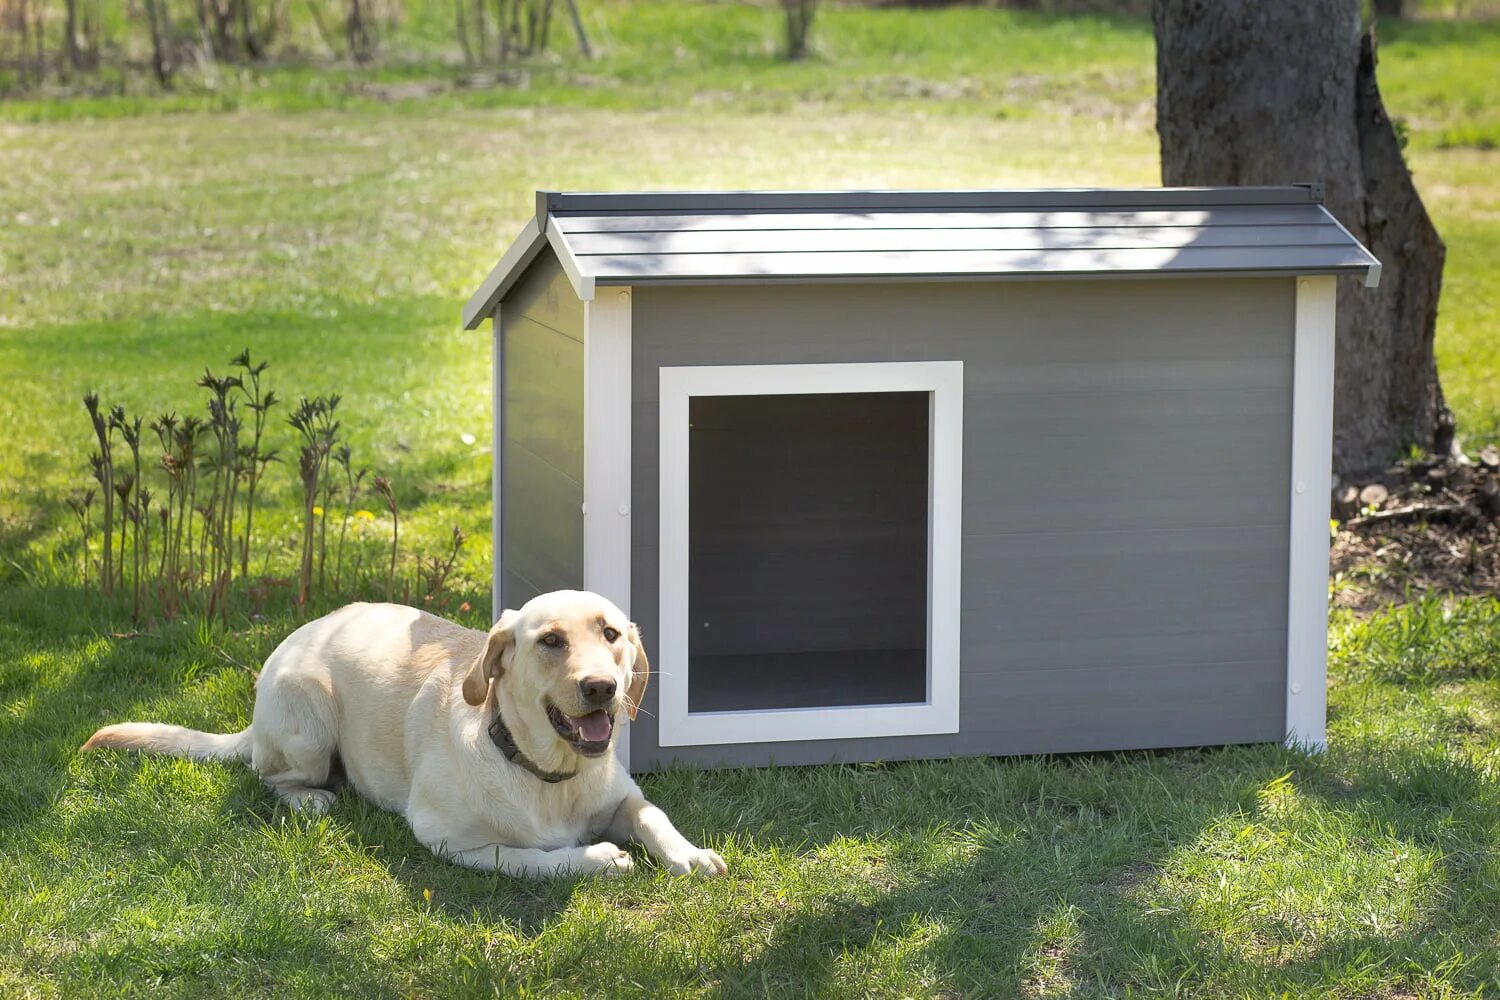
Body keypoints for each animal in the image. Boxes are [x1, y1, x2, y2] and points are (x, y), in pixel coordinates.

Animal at [82, 590, 726, 881]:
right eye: (550, 641)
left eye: (611, 634)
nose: (601, 688)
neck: (546, 773)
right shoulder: (448, 839)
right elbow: (530, 858)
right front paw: (594, 857)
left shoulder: (624, 797)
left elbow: (654, 816)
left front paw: (690, 854)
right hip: (306, 717)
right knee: (269, 775)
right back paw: (310, 799)